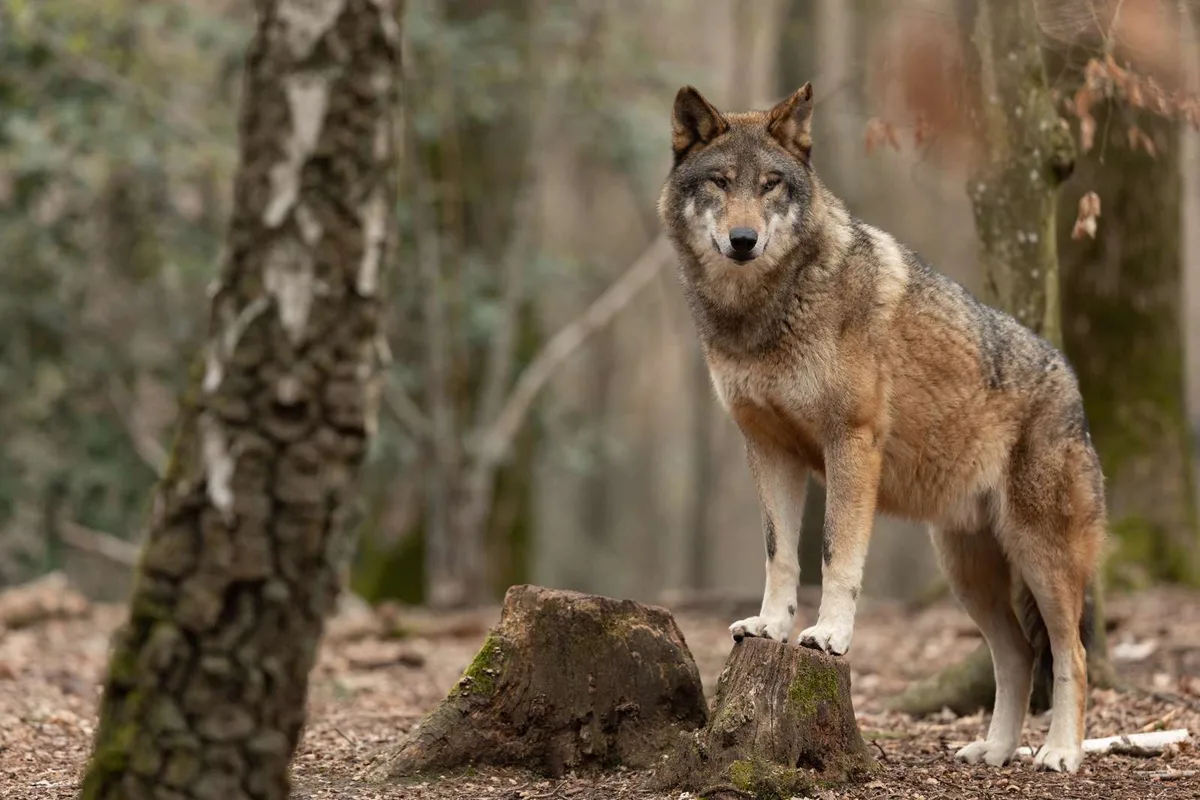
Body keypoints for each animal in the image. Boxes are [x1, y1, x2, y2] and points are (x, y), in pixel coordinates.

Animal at [657, 82, 1106, 774]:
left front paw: (828, 636)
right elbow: (781, 555)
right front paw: (769, 626)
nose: (743, 239)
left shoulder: (851, 443)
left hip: (1041, 559)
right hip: (967, 573)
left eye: (769, 185)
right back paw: (995, 751)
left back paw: (1059, 754)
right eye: (720, 182)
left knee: (1070, 656)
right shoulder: (768, 449)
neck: (762, 312)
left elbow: (835, 553)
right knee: (1017, 655)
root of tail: (1072, 381)